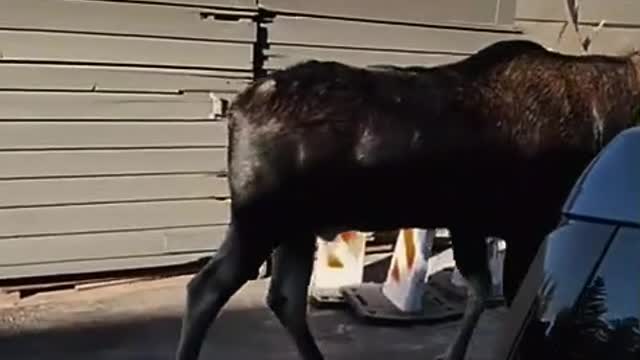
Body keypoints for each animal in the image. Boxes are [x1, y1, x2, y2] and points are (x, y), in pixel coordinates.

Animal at [174, 39, 640, 360]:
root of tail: (235, 109)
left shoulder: (471, 222)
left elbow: (478, 291)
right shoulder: (529, 223)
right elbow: (508, 300)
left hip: (296, 225)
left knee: (284, 298)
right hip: (262, 215)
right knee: (207, 287)